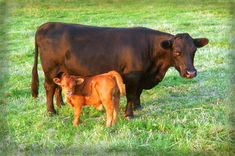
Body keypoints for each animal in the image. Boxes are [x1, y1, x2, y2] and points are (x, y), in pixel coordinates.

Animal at [31, 22, 209, 118]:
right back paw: (51, 111)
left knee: (58, 86)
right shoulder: (133, 76)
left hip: (61, 70)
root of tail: (46, 25)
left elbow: (137, 93)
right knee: (49, 87)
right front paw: (129, 114)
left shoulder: (141, 77)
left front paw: (138, 107)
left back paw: (60, 104)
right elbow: (130, 94)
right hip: (50, 69)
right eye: (177, 52)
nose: (191, 72)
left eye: (194, 51)